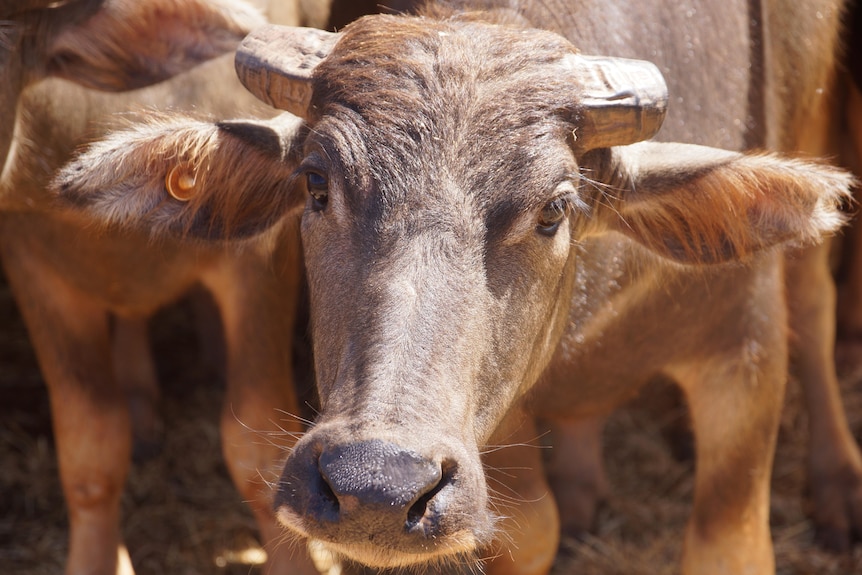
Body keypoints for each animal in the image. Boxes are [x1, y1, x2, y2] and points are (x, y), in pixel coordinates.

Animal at [54, 1, 862, 575]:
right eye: (316, 185)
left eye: (554, 208)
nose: (375, 487)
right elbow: (528, 532)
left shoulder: (743, 358)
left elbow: (728, 545)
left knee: (816, 302)